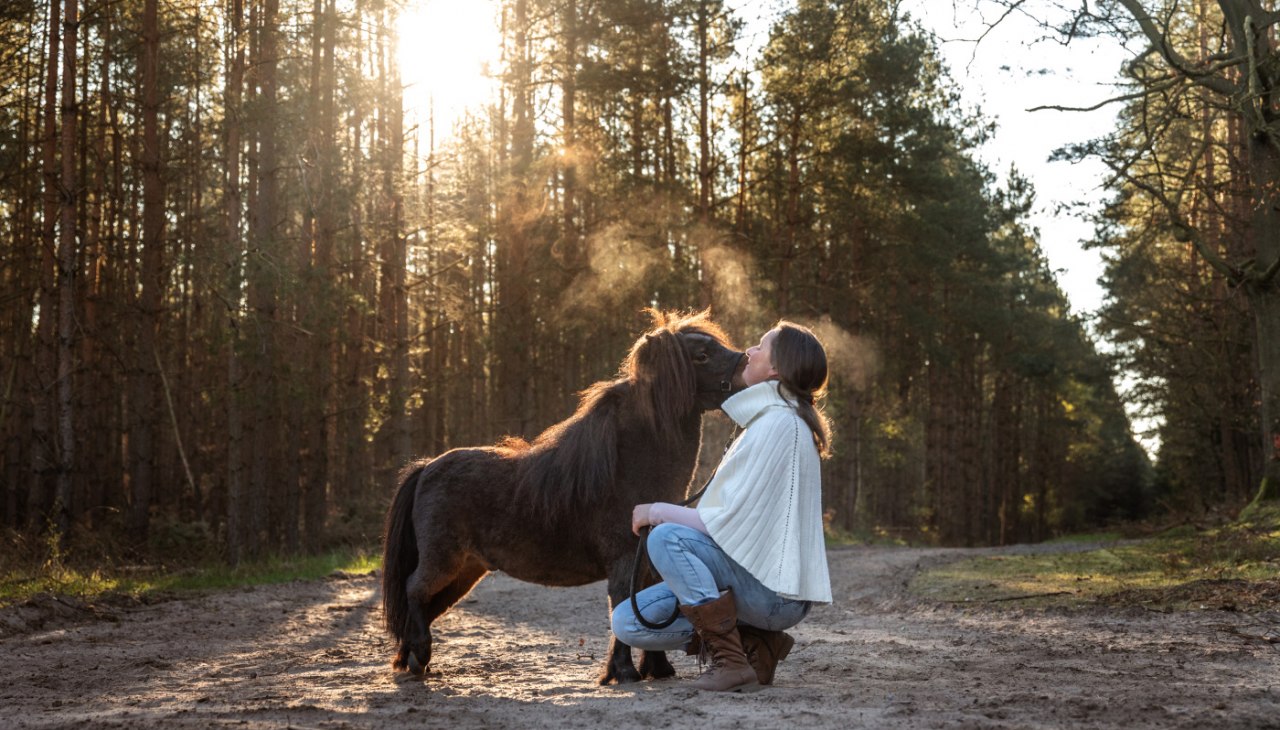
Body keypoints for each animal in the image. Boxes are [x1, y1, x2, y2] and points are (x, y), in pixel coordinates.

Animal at [381, 309, 746, 685]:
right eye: (701, 355)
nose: (747, 362)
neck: (629, 467)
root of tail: (427, 467)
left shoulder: (648, 565)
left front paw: (657, 670)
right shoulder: (623, 561)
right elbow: (622, 608)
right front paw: (624, 672)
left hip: (466, 571)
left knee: (426, 604)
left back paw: (412, 659)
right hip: (443, 561)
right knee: (414, 590)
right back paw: (418, 657)